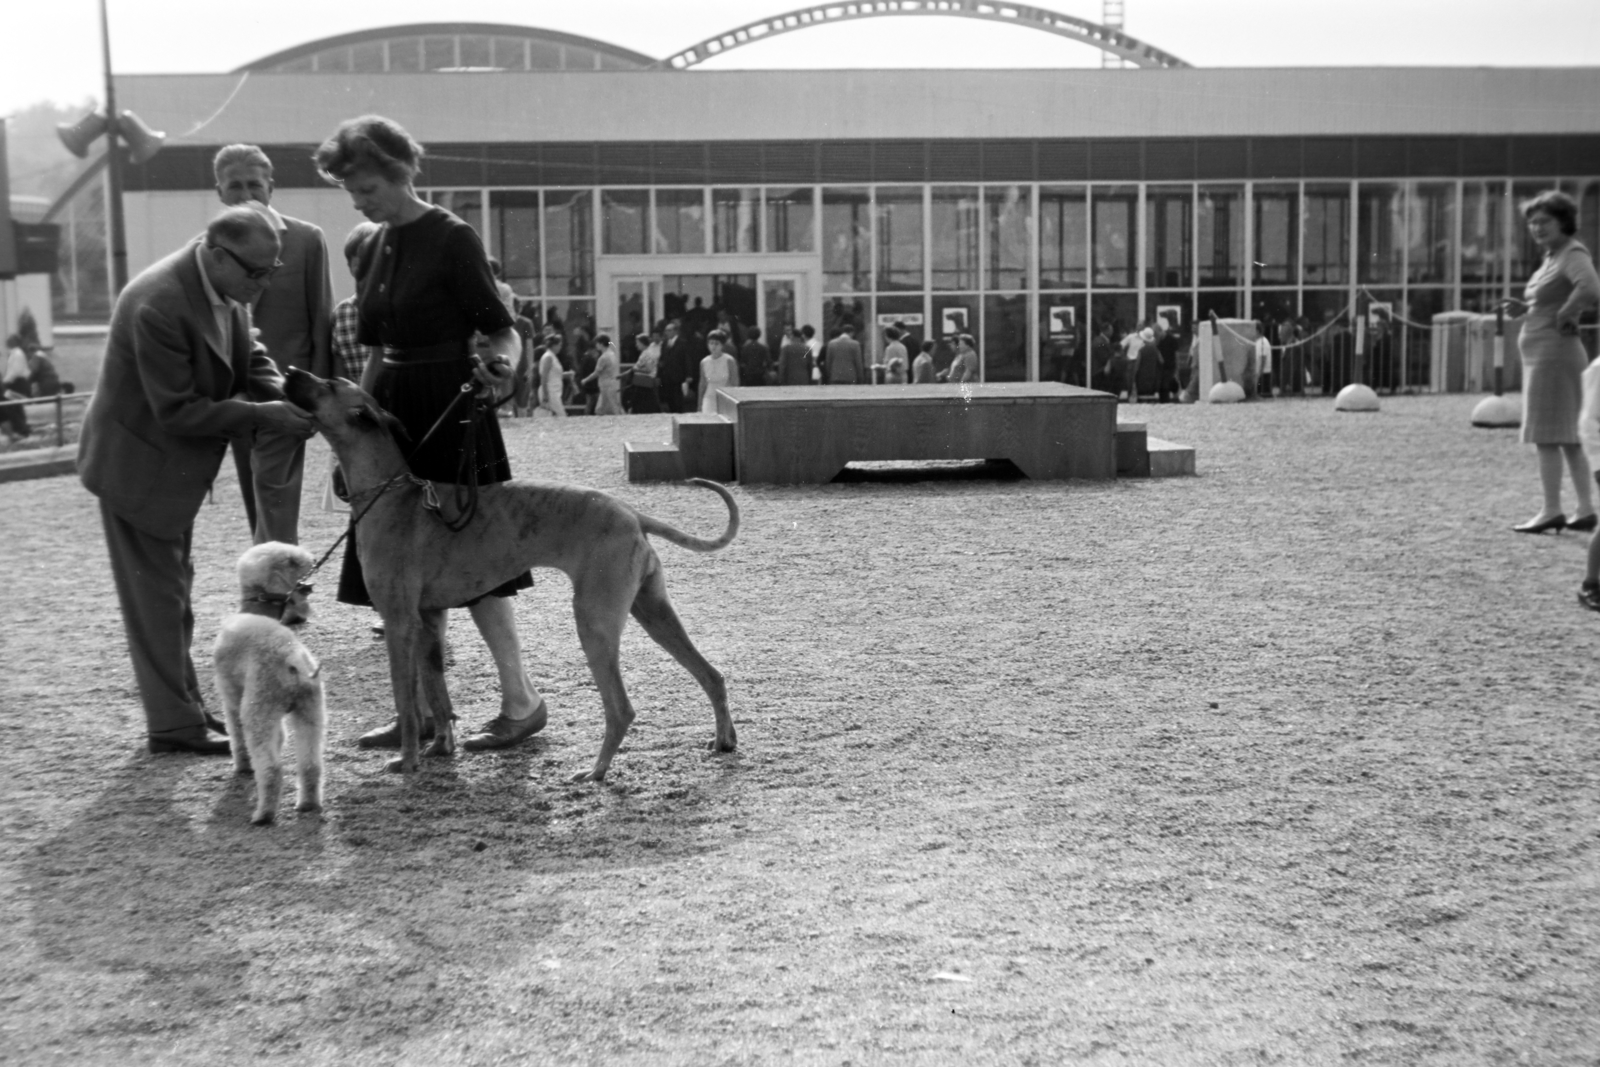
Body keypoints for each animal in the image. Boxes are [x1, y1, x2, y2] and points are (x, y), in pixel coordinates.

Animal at [212, 543, 324, 825]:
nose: (315, 559)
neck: (253, 613)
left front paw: (242, 766)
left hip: (257, 711)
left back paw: (263, 815)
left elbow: (236, 736)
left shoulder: (231, 699)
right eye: (291, 560)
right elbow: (280, 738)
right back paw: (307, 804)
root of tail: (290, 655)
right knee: (311, 765)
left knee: (271, 770)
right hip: (309, 711)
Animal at [284, 369, 739, 783]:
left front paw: (408, 760)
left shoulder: (400, 624)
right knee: (712, 675)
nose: (289, 371)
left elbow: (406, 703)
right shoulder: (428, 624)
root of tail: (632, 514)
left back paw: (596, 770)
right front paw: (440, 747)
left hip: (594, 623)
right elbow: (437, 695)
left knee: (621, 709)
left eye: (326, 384)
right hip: (653, 613)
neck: (394, 496)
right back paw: (724, 739)